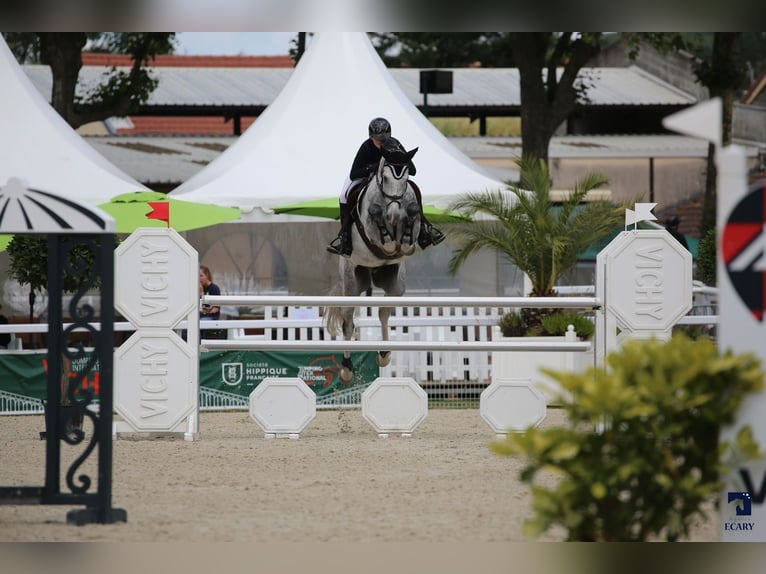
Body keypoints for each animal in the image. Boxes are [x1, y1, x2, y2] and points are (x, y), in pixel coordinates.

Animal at [324, 148, 420, 384]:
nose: (394, 216)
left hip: (395, 284)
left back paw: (384, 354)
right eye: (384, 178)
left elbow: (412, 217)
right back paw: (347, 368)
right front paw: (389, 241)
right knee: (348, 321)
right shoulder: (369, 230)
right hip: (351, 282)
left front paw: (403, 239)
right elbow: (376, 218)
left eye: (406, 177)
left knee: (384, 314)